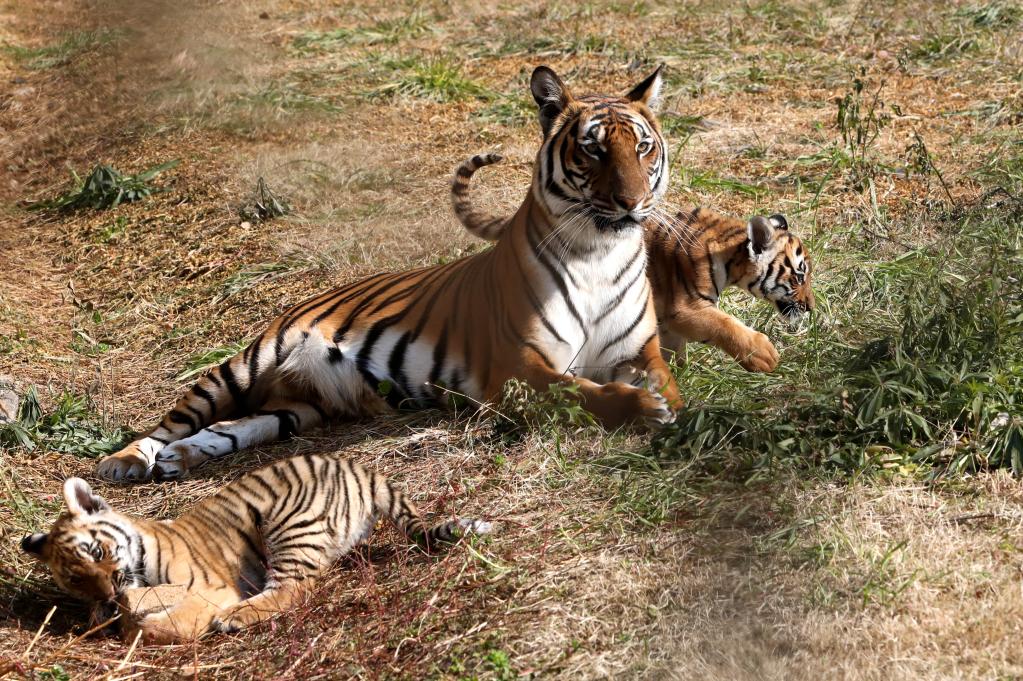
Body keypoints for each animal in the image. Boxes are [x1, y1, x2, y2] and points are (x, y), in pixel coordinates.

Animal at [97, 66, 679, 482]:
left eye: (642, 146)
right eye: (593, 148)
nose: (633, 203)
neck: (598, 254)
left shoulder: (640, 349)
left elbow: (666, 381)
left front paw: (678, 408)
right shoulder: (519, 367)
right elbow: (585, 393)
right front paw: (644, 409)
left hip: (296, 410)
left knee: (228, 426)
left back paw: (182, 457)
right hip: (244, 365)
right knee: (173, 420)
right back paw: (126, 461)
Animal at [448, 153, 814, 372]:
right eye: (798, 277)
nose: (810, 307)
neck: (727, 252)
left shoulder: (667, 316)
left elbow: (672, 346)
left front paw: (679, 373)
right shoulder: (687, 307)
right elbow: (724, 325)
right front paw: (764, 356)